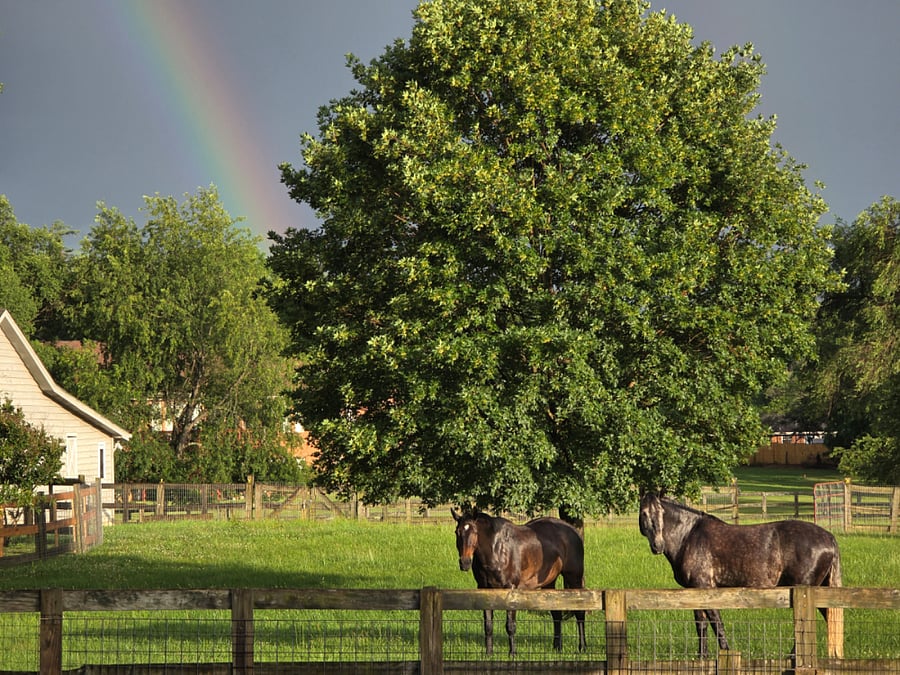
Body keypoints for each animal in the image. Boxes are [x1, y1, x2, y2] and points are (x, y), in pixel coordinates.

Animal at [451, 509, 587, 656]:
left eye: (474, 532)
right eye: (457, 532)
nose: (464, 563)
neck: (496, 550)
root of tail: (573, 531)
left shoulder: (511, 590)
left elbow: (510, 625)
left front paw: (512, 653)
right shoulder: (484, 589)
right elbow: (488, 625)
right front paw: (489, 654)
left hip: (574, 578)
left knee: (580, 613)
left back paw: (582, 647)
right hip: (548, 583)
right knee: (556, 614)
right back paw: (557, 647)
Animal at [639, 492, 844, 658]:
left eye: (661, 512)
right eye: (644, 513)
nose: (658, 545)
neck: (689, 536)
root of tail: (829, 538)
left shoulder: (704, 588)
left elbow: (715, 624)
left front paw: (725, 654)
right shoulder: (695, 593)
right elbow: (702, 625)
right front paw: (702, 657)